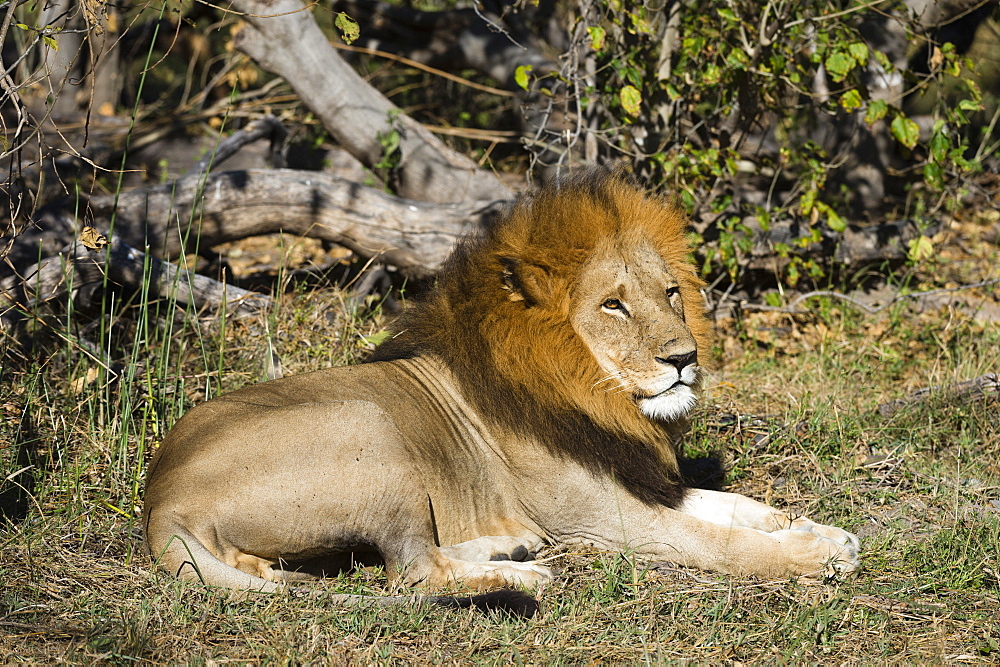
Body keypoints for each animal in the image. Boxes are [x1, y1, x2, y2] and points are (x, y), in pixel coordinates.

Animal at [143, 170, 860, 620]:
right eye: (614, 305)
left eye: (671, 294)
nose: (685, 359)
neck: (599, 396)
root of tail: (159, 500)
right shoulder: (606, 519)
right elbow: (723, 543)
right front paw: (814, 556)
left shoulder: (639, 480)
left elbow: (739, 507)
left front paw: (815, 529)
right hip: (368, 423)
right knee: (411, 570)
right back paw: (524, 574)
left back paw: (508, 549)